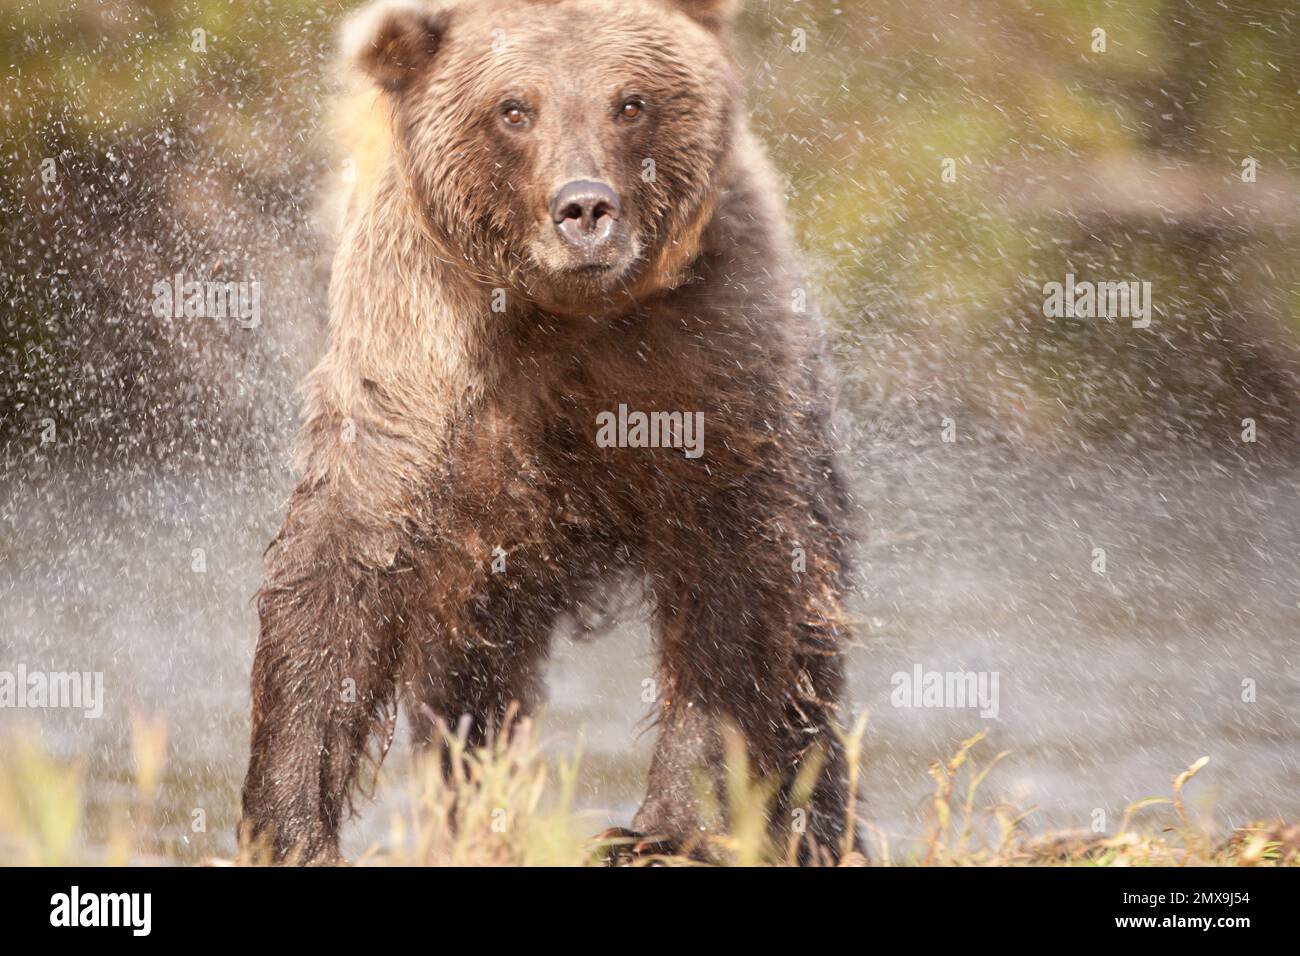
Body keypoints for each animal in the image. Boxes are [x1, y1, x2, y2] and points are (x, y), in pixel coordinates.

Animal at [240, 0, 857, 868]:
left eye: (631, 101)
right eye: (514, 108)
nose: (585, 208)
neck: (569, 319)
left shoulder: (717, 359)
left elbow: (735, 598)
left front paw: (665, 828)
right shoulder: (422, 361)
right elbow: (341, 571)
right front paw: (289, 823)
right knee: (470, 686)